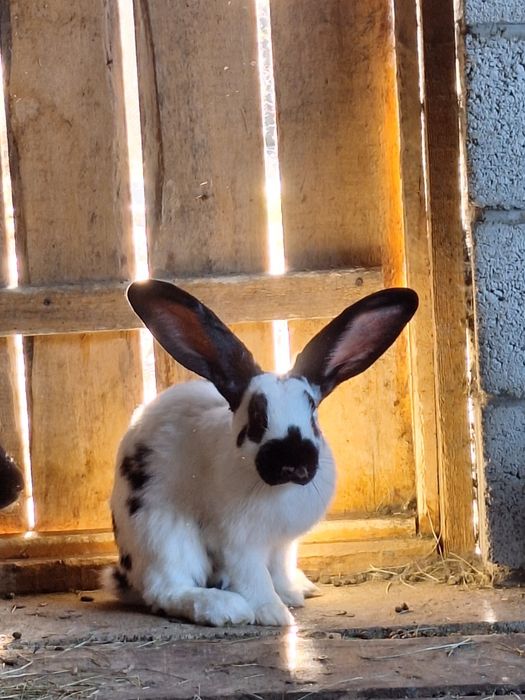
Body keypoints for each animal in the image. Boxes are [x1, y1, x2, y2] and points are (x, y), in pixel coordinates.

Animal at [103, 280, 418, 626]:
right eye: (256, 419)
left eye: (312, 415)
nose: (292, 464)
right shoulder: (238, 545)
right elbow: (254, 579)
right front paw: (274, 614)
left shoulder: (282, 544)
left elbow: (278, 570)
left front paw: (290, 594)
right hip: (162, 533)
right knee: (165, 588)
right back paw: (223, 607)